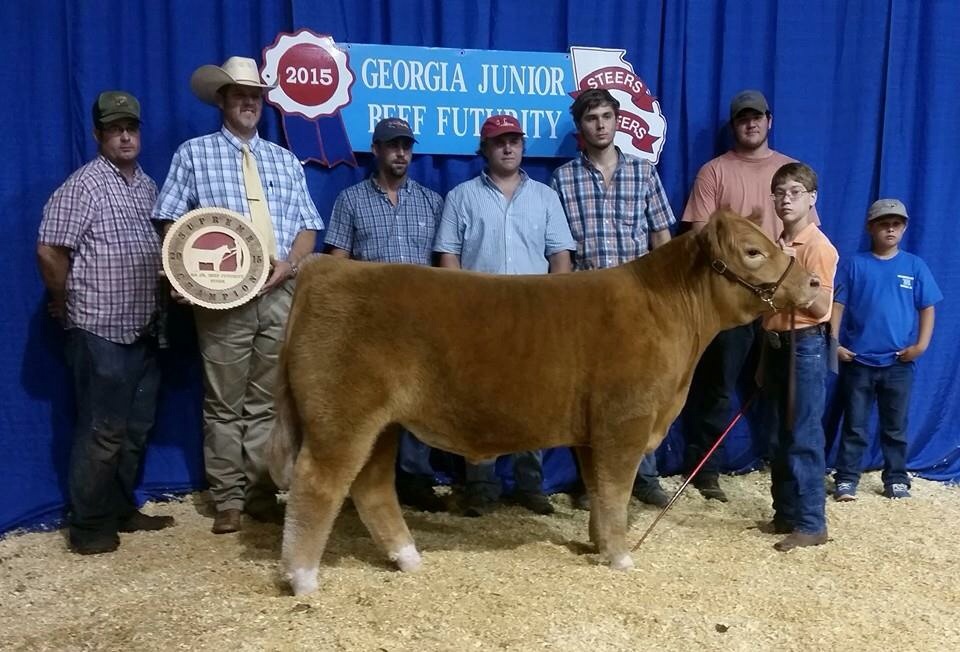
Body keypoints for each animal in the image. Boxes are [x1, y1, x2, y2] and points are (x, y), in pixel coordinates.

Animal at [268, 210, 820, 595]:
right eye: (752, 251)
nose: (813, 282)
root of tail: (326, 269)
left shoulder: (592, 432)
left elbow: (599, 492)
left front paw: (599, 544)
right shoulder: (624, 422)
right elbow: (615, 492)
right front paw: (622, 557)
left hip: (381, 424)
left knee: (371, 486)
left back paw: (408, 558)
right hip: (342, 415)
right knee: (318, 483)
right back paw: (303, 579)